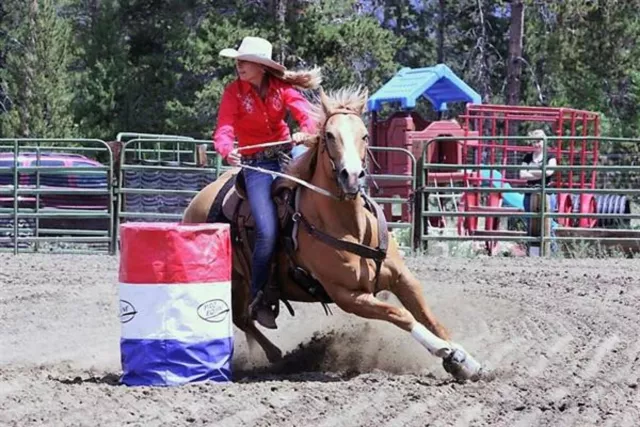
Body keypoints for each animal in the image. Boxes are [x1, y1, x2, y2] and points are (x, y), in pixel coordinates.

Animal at [182, 85, 482, 382]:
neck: (350, 227)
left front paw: (466, 359)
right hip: (234, 280)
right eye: (329, 135)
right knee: (242, 317)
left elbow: (430, 317)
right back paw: (277, 355)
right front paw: (446, 351)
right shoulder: (348, 296)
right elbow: (401, 314)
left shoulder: (403, 278)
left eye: (364, 134)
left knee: (244, 318)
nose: (352, 176)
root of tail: (197, 201)